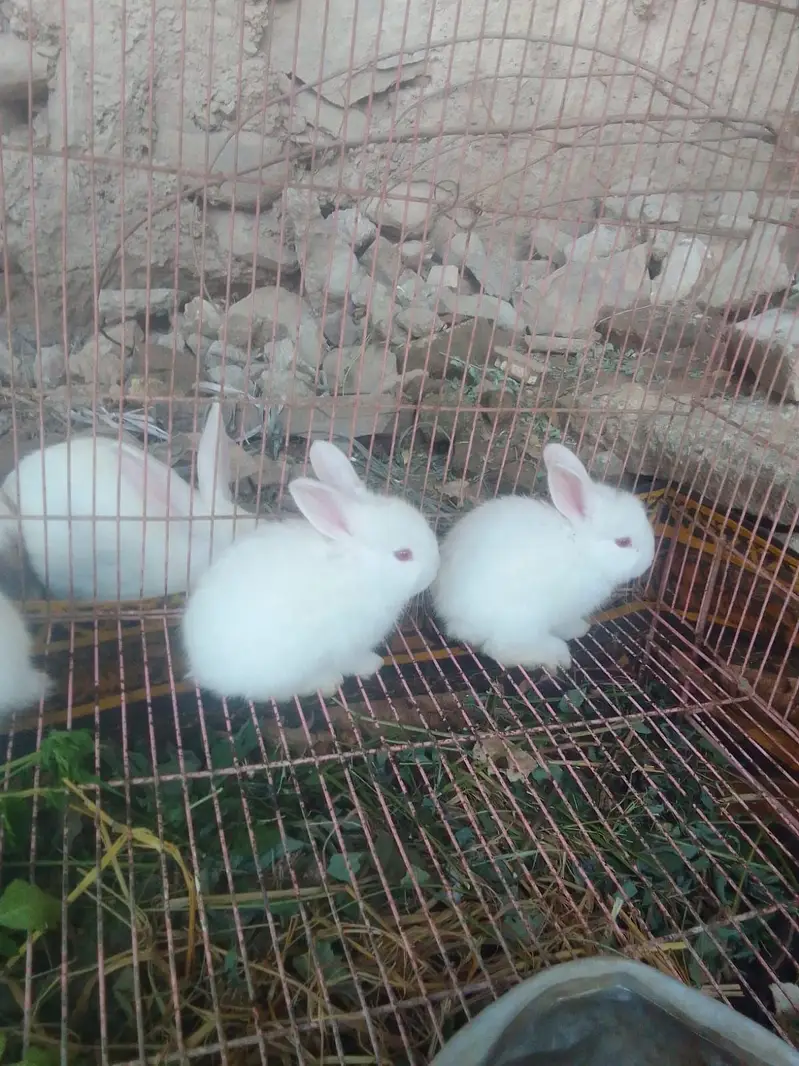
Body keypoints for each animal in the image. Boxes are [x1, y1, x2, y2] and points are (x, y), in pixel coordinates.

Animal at [182, 439, 441, 703]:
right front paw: (372, 665)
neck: (360, 572)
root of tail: (201, 669)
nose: (435, 569)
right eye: (403, 554)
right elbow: (352, 660)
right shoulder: (347, 644)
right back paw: (326, 682)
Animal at [431, 441, 656, 673]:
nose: (649, 560)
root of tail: (451, 615)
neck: (581, 548)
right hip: (522, 619)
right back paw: (554, 656)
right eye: (623, 542)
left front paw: (580, 627)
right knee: (500, 649)